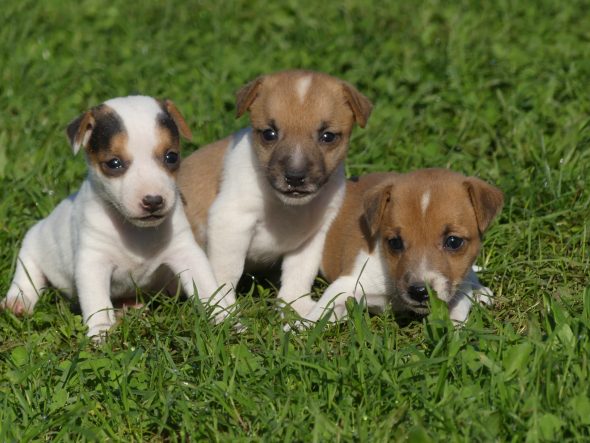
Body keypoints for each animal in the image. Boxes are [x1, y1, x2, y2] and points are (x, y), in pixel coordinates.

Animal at [0, 96, 222, 340]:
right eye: (114, 163)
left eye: (171, 157)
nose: (153, 200)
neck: (136, 231)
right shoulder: (93, 261)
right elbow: (97, 302)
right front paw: (100, 335)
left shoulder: (186, 252)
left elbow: (207, 286)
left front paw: (227, 320)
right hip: (33, 242)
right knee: (28, 272)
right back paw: (18, 301)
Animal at [179, 70, 374, 316]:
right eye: (269, 134)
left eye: (328, 136)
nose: (295, 177)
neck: (285, 207)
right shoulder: (231, 221)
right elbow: (228, 270)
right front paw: (224, 306)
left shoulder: (312, 235)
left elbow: (299, 272)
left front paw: (296, 306)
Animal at [300, 170, 504, 326]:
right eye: (395, 242)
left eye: (453, 242)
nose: (420, 291)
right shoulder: (347, 284)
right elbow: (323, 310)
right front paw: (302, 327)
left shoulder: (457, 285)